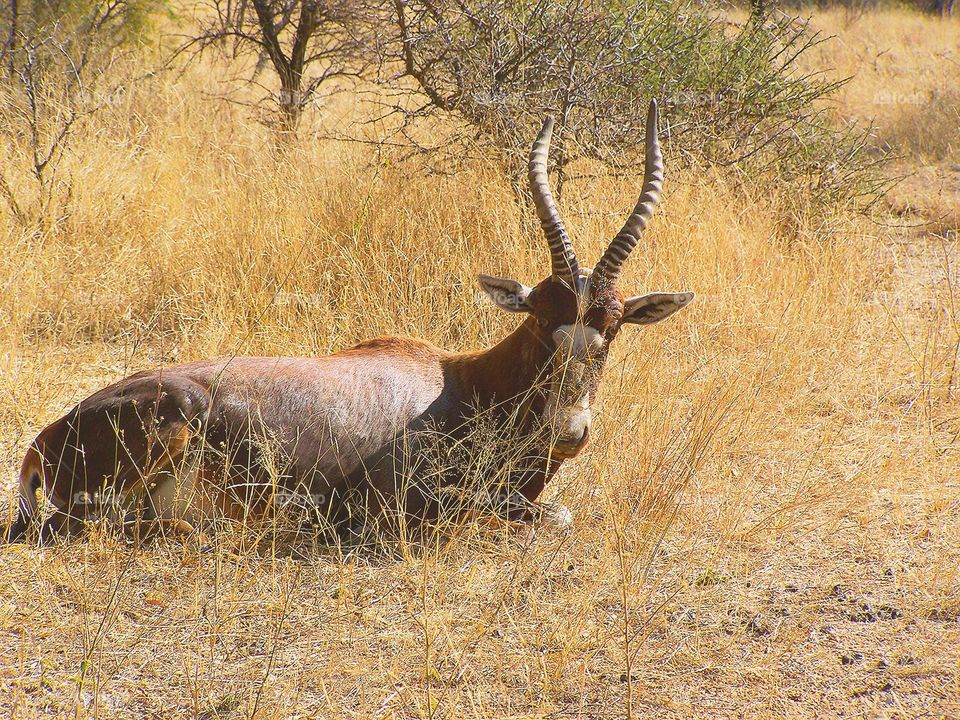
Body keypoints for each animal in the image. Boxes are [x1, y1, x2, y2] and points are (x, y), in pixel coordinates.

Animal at [0, 100, 688, 540]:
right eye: (544, 321)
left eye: (613, 327)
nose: (569, 432)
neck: (457, 381)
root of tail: (44, 441)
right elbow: (548, 516)